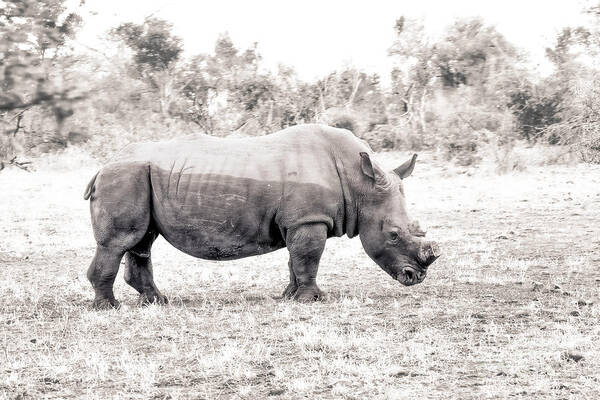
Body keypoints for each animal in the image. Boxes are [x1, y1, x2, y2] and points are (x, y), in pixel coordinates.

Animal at [83, 123, 440, 308]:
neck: (359, 183)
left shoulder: (298, 221)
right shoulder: (309, 219)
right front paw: (313, 300)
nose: (416, 277)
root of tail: (101, 166)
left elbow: (296, 260)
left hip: (139, 177)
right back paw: (110, 308)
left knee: (142, 241)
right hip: (124, 176)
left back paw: (159, 302)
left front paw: (289, 296)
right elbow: (308, 258)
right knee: (119, 242)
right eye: (393, 234)